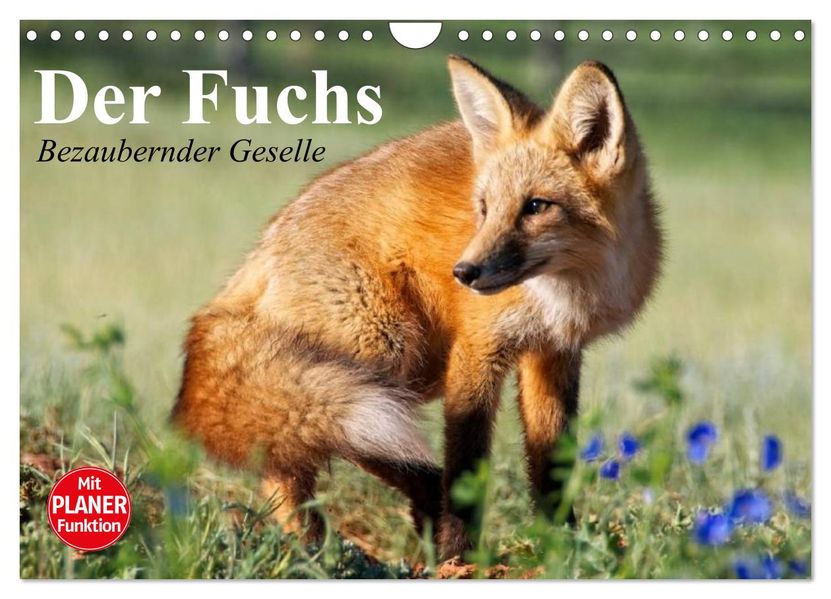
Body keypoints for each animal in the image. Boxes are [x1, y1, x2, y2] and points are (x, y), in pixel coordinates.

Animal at [171, 56, 662, 561]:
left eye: (536, 206)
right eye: (484, 208)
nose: (464, 273)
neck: (565, 293)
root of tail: (260, 251)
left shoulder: (553, 353)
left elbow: (552, 467)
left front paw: (563, 547)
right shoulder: (476, 350)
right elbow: (467, 463)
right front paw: (460, 557)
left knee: (291, 451)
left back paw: (332, 545)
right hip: (386, 355)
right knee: (301, 450)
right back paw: (327, 550)